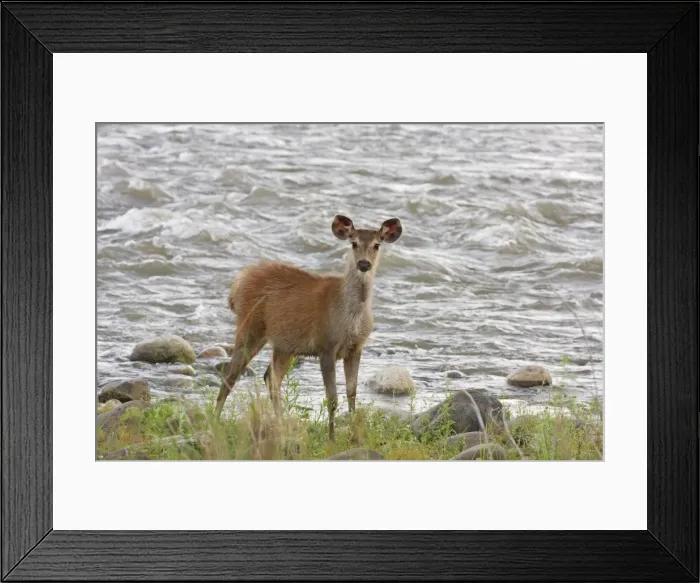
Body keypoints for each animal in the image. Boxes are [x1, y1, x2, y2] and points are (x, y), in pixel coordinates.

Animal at [214, 214, 403, 440]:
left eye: (376, 245)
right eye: (353, 243)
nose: (363, 264)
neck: (351, 318)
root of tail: (237, 284)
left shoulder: (356, 348)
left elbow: (352, 392)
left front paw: (354, 436)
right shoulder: (326, 345)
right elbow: (332, 397)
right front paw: (331, 438)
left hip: (284, 344)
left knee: (270, 377)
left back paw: (281, 425)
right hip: (250, 328)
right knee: (231, 375)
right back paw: (213, 422)